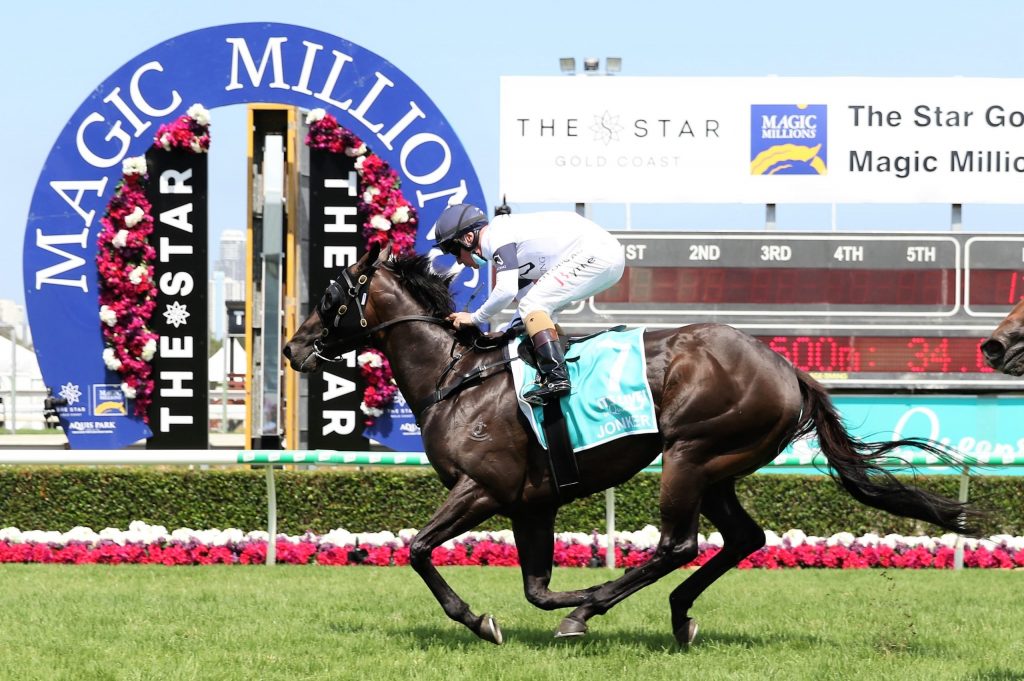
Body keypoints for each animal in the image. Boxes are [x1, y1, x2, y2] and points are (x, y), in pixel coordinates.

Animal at [283, 243, 974, 647]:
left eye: (331, 296)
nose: (292, 347)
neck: (456, 379)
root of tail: (787, 366)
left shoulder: (483, 489)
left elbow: (420, 550)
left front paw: (486, 621)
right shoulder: (532, 503)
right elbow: (534, 586)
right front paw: (559, 599)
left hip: (690, 454)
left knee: (678, 545)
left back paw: (594, 611)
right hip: (719, 467)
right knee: (741, 539)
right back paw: (671, 613)